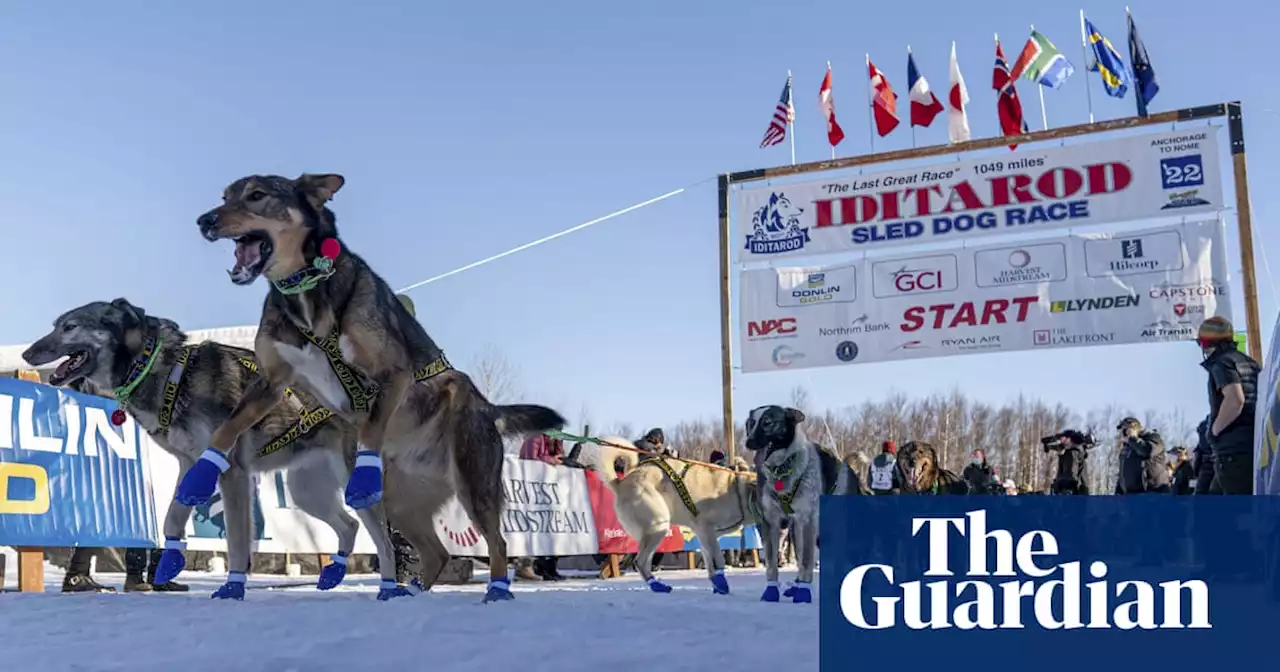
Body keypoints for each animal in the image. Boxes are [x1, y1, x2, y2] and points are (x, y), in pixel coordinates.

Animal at [20, 298, 412, 596]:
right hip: (307, 491)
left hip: (353, 485)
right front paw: (171, 561)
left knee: (383, 540)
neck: (161, 369)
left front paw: (233, 587)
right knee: (348, 525)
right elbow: (172, 516)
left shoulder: (232, 472)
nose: (26, 353)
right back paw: (335, 573)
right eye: (56, 325)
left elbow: (238, 541)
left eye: (70, 327)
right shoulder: (191, 467)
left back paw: (390, 588)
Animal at [181, 174, 565, 601]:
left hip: (473, 482)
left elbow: (371, 428)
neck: (305, 293)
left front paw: (364, 469)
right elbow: (225, 429)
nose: (205, 221)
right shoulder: (270, 383)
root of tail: (488, 407)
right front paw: (201, 472)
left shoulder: (393, 373)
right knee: (435, 551)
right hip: (400, 502)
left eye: (257, 195)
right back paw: (409, 591)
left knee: (497, 543)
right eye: (225, 197)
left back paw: (495, 589)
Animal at [591, 437, 757, 593]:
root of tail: (621, 482)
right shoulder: (705, 528)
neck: (737, 490)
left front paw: (716, 584)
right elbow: (718, 560)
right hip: (658, 526)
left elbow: (710, 561)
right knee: (639, 561)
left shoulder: (706, 534)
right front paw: (722, 584)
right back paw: (657, 585)